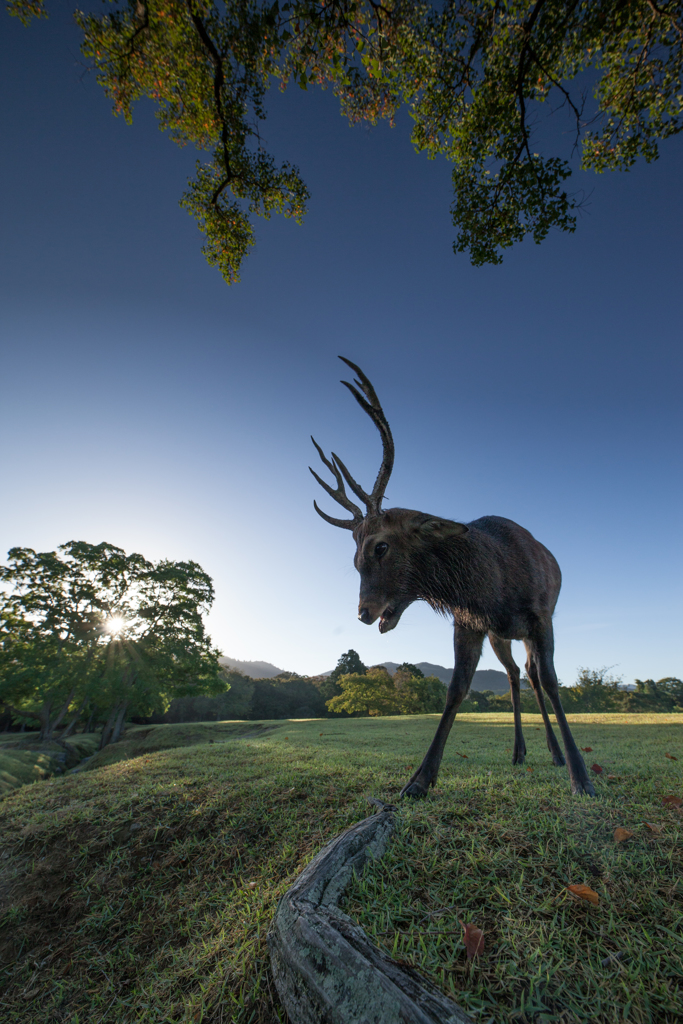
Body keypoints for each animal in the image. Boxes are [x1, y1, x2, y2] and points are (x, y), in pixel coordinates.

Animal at [309, 360, 593, 798]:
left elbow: (551, 680)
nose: (363, 613)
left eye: (380, 547)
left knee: (533, 675)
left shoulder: (541, 615)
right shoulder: (470, 623)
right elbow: (456, 688)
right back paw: (521, 751)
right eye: (354, 558)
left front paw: (582, 777)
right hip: (500, 636)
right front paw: (419, 780)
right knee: (516, 674)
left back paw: (557, 754)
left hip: (528, 627)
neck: (492, 586)